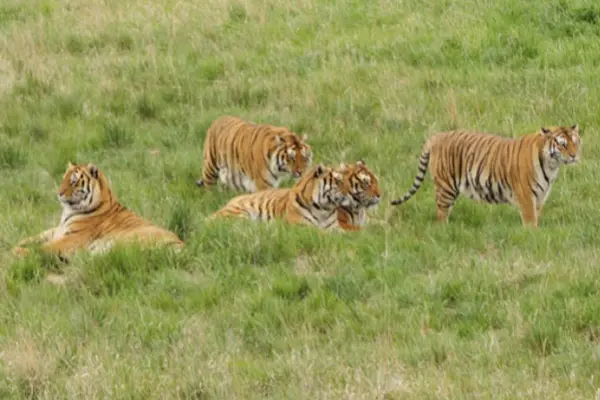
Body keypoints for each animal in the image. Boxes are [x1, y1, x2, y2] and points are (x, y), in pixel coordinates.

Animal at [13, 161, 183, 260]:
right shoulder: (57, 230)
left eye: (73, 181)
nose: (58, 193)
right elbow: (38, 236)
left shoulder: (71, 239)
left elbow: (43, 247)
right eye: (63, 178)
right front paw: (21, 242)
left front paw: (17, 250)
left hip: (126, 240)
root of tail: (181, 245)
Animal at [390, 123, 580, 227]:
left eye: (576, 142)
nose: (574, 155)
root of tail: (436, 136)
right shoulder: (526, 196)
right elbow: (530, 220)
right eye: (562, 144)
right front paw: (532, 235)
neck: (551, 165)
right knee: (441, 214)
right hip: (446, 187)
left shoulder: (540, 197)